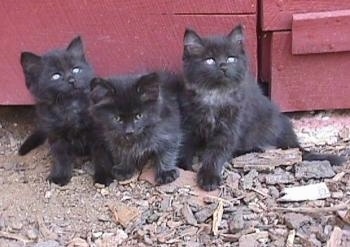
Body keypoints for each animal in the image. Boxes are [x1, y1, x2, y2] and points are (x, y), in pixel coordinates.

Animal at [18, 36, 113, 185]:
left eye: (76, 70)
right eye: (56, 76)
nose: (72, 80)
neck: (71, 106)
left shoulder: (99, 132)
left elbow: (102, 154)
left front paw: (104, 176)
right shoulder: (56, 135)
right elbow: (60, 157)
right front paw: (59, 176)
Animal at [179, 25, 344, 191]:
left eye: (231, 58)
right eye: (209, 60)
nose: (223, 66)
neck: (215, 95)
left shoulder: (230, 127)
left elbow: (216, 152)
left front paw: (209, 176)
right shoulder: (190, 123)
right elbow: (185, 145)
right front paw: (182, 166)